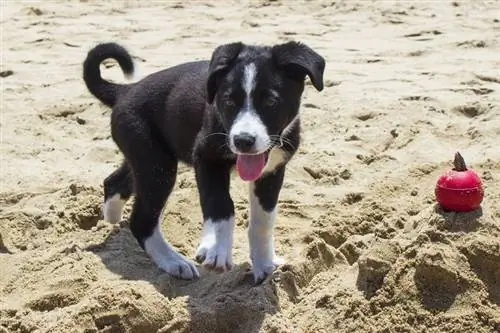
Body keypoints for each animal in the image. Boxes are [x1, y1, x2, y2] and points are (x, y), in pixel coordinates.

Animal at [83, 40, 324, 282]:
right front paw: (217, 250)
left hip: (147, 156)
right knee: (142, 220)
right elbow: (220, 202)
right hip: (157, 166)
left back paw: (112, 218)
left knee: (115, 182)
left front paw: (264, 265)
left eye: (271, 101)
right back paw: (174, 262)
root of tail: (126, 90)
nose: (243, 140)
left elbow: (263, 221)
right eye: (228, 101)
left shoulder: (272, 170)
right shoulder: (206, 158)